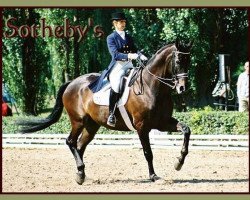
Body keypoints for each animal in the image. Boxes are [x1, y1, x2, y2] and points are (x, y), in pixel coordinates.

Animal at [18, 40, 192, 184]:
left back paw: (81, 175)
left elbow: (186, 130)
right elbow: (148, 152)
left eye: (188, 61)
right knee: (71, 142)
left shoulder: (162, 122)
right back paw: (80, 172)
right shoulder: (142, 126)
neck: (152, 87)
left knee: (80, 146)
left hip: (91, 126)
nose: (182, 88)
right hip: (78, 121)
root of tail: (71, 83)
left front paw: (179, 162)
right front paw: (154, 176)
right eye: (178, 61)